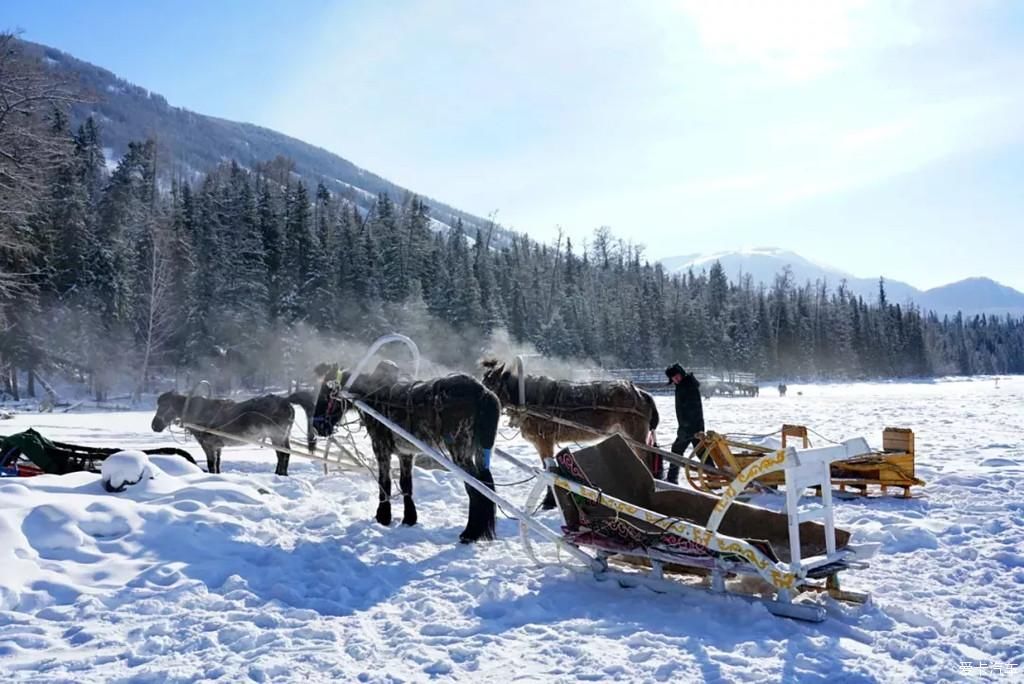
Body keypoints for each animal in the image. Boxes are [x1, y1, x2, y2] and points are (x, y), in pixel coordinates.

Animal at [148, 389, 307, 475]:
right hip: (281, 436)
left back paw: (280, 474)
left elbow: (211, 465)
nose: (154, 426)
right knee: (284, 454)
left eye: (164, 406)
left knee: (283, 454)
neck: (198, 412)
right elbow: (217, 464)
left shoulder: (208, 445)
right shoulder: (217, 446)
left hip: (277, 435)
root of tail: (285, 401)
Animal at [313, 360, 501, 540]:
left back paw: (470, 533)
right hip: (479, 450)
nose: (317, 426)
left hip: (459, 450)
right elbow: (406, 485)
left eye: (326, 393)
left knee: (475, 487)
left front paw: (383, 516)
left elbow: (384, 483)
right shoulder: (406, 453)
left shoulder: (381, 448)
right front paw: (409, 518)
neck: (373, 397)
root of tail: (482, 391)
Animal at [481, 358, 663, 507]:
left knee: (645, 461)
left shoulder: (544, 441)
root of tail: (642, 393)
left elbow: (549, 469)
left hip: (636, 435)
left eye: (491, 384)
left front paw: (549, 501)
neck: (527, 400)